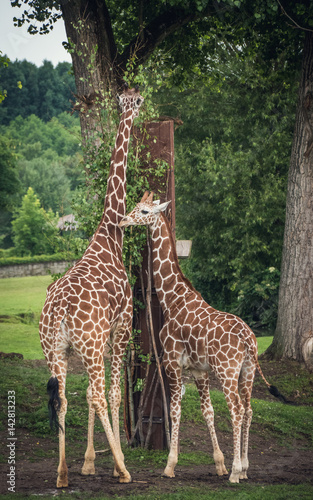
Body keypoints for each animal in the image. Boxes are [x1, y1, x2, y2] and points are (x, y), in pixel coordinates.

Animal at [38, 84, 143, 486]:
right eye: (136, 101)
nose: (134, 105)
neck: (110, 235)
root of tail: (59, 311)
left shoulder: (92, 343)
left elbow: (83, 396)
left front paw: (87, 462)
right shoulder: (121, 327)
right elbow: (113, 394)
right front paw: (112, 462)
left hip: (55, 350)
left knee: (64, 398)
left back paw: (63, 474)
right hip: (91, 345)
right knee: (98, 393)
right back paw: (124, 470)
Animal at [120, 192, 288, 484]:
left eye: (143, 211)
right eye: (135, 207)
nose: (123, 220)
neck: (171, 298)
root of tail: (248, 339)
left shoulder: (172, 362)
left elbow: (174, 409)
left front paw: (170, 465)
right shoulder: (199, 370)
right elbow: (207, 410)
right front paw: (219, 463)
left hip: (227, 370)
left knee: (236, 409)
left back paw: (236, 472)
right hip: (247, 370)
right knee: (248, 409)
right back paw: (244, 468)